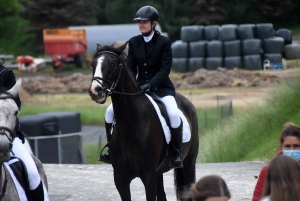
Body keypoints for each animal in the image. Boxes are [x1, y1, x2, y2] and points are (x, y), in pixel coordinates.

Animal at [87, 42, 199, 199]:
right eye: (93, 64)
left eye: (112, 64)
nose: (95, 91)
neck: (131, 126)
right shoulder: (120, 178)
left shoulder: (148, 176)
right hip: (159, 171)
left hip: (188, 163)